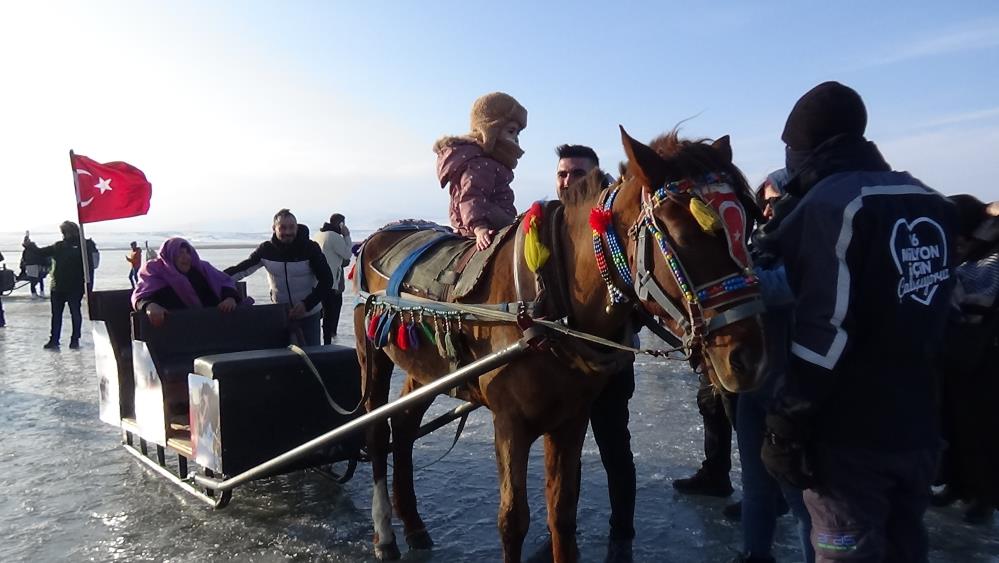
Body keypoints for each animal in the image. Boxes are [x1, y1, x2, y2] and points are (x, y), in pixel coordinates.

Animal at [356, 129, 768, 563]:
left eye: (747, 228)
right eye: (684, 234)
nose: (750, 357)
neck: (551, 299)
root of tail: (378, 235)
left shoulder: (571, 417)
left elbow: (562, 512)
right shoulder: (510, 422)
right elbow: (513, 521)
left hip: (423, 370)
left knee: (403, 424)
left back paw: (413, 523)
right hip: (372, 356)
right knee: (375, 433)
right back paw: (385, 533)